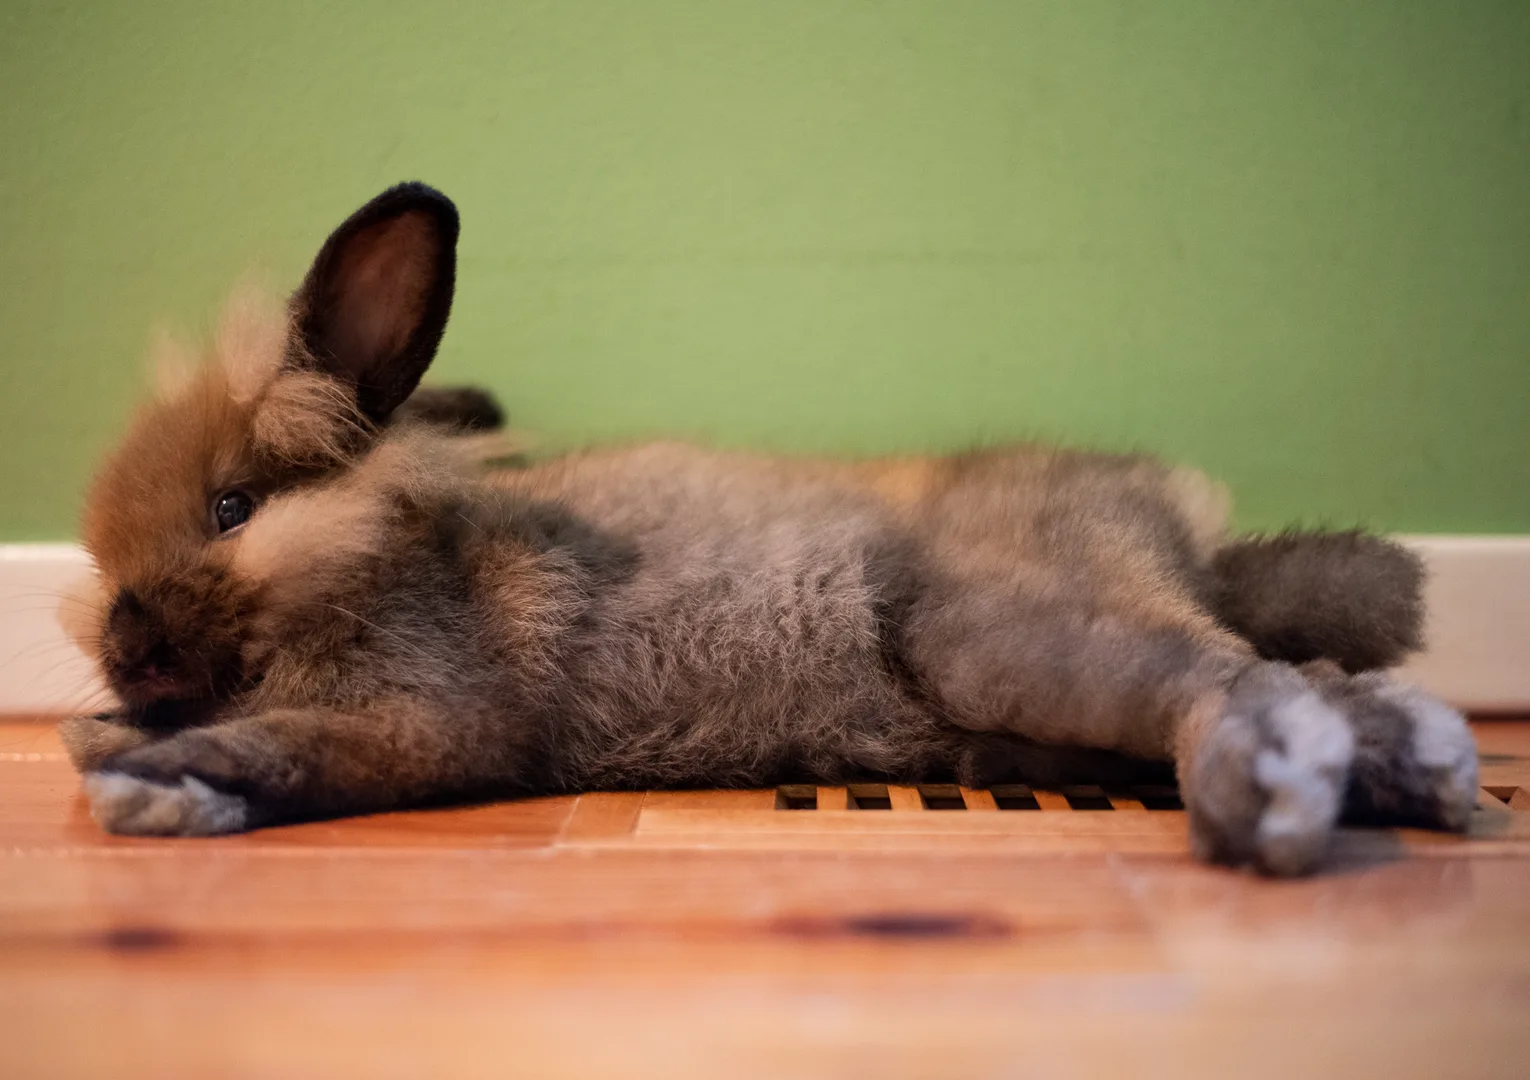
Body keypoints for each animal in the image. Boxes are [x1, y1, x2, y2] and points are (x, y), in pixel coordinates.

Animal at [59, 182, 1478, 875]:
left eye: (232, 508)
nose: (125, 647)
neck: (388, 554)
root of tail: (1181, 530)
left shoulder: (430, 720)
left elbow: (298, 749)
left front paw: (149, 777)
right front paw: (122, 750)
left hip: (1003, 634)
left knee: (1242, 683)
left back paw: (1276, 789)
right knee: (1309, 677)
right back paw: (1419, 775)